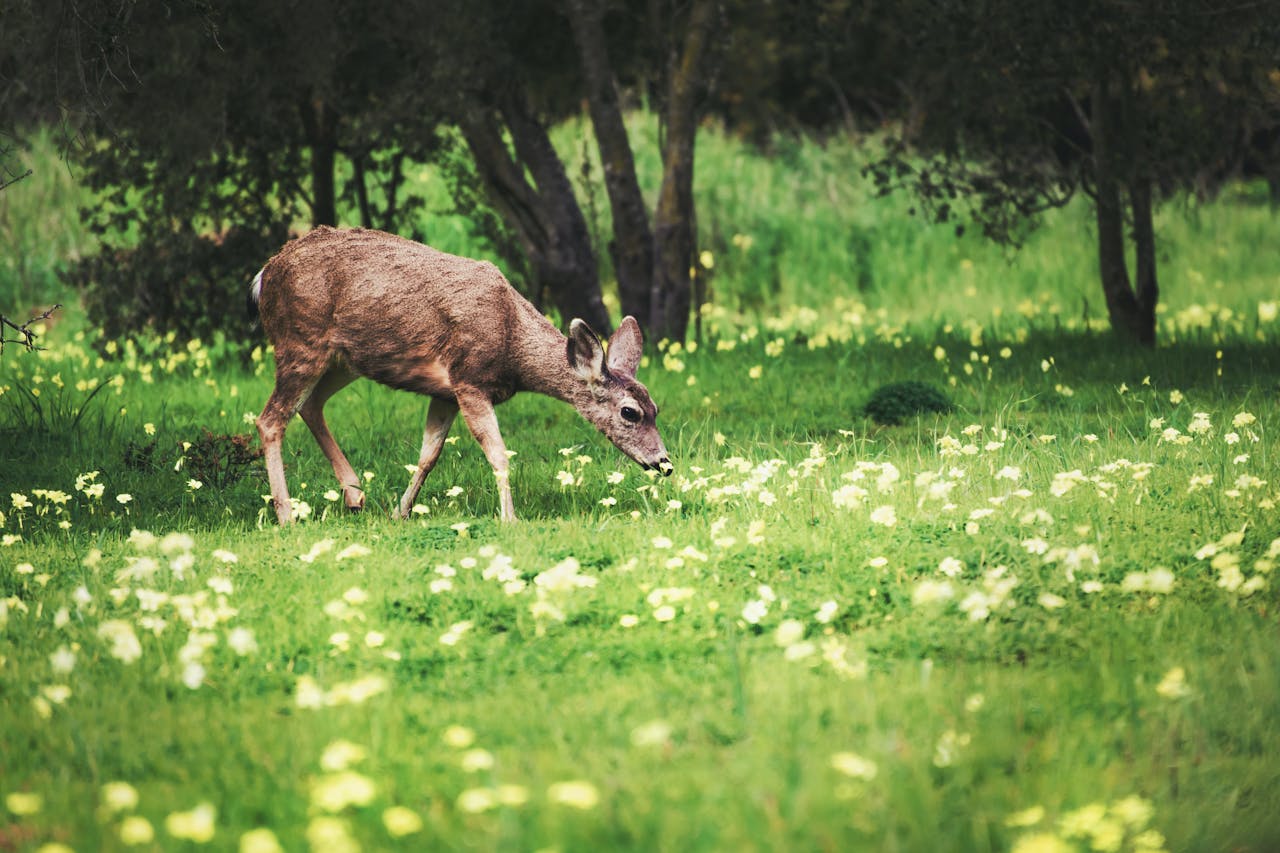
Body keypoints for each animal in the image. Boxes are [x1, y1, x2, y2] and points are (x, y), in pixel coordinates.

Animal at [249, 222, 670, 522]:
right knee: (270, 419)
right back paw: (287, 514)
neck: (513, 344)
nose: (663, 463)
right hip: (300, 340)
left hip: (344, 359)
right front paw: (509, 519)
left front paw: (400, 512)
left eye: (655, 408)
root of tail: (264, 274)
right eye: (629, 412)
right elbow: (498, 452)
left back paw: (354, 495)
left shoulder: (444, 392)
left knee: (310, 405)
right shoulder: (468, 378)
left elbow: (428, 454)